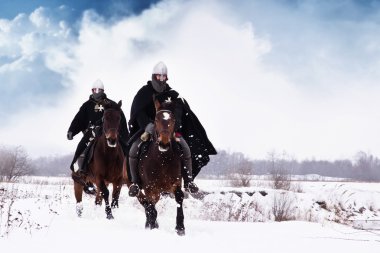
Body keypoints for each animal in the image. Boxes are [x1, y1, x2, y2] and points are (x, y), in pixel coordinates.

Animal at [133, 98, 186, 235]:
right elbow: (151, 207)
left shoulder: (176, 183)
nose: (164, 143)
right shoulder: (149, 188)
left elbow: (179, 199)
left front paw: (180, 228)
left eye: (173, 120)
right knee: (146, 204)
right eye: (156, 120)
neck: (162, 159)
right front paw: (153, 226)